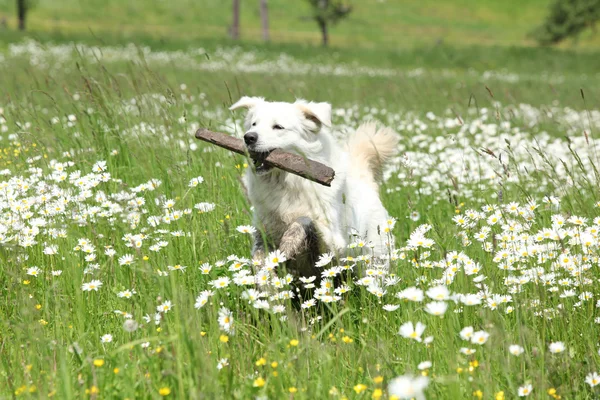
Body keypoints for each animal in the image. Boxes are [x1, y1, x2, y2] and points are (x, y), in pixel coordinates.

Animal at [230, 97, 398, 278]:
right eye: (253, 124)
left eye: (278, 127)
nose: (248, 137)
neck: (288, 185)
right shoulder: (263, 232)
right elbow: (259, 255)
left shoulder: (333, 240)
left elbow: (304, 220)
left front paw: (288, 244)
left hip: (372, 259)